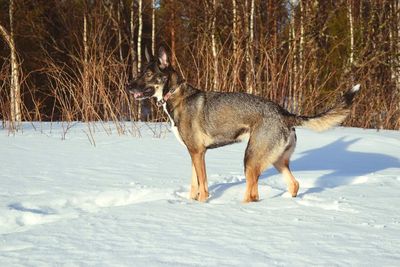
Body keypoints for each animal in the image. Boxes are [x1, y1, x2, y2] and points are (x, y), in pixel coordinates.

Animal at [126, 46, 360, 203]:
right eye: (140, 72)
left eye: (148, 74)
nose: (128, 86)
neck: (175, 96)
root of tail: (284, 113)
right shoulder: (194, 152)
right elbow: (194, 184)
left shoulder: (198, 153)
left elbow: (203, 186)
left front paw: (201, 204)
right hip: (277, 161)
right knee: (294, 184)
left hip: (250, 159)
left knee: (253, 194)